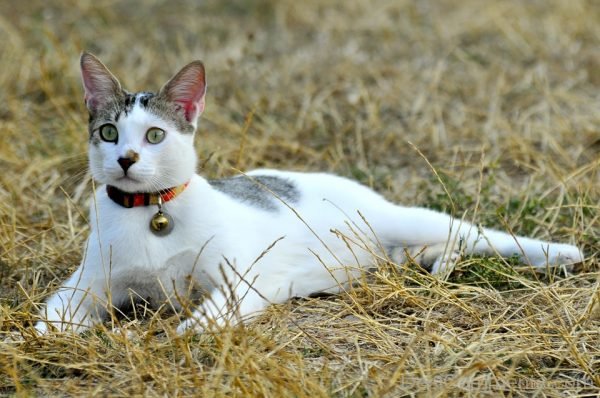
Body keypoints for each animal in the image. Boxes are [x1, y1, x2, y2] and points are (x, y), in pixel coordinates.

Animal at [35, 52, 584, 332]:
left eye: (154, 135)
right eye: (109, 132)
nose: (126, 159)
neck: (152, 213)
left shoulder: (239, 281)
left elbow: (203, 319)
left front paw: (179, 333)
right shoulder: (84, 285)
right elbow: (51, 319)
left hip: (404, 218)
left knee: (474, 231)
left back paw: (558, 253)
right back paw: (436, 263)